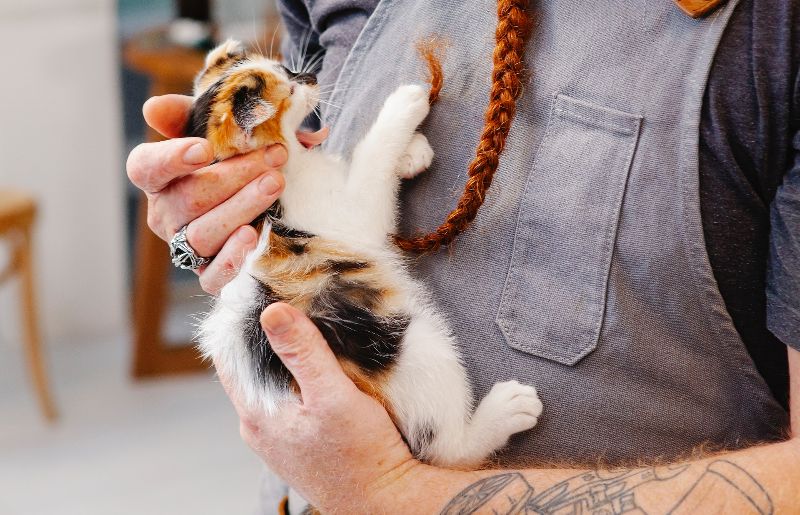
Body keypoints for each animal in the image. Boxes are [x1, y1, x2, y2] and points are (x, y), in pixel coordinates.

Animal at [194, 39, 544, 468]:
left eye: (286, 71)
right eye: (289, 90)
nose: (309, 77)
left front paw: (413, 154)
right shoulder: (352, 211)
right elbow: (369, 160)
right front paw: (404, 105)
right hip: (413, 347)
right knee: (444, 449)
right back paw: (506, 410)